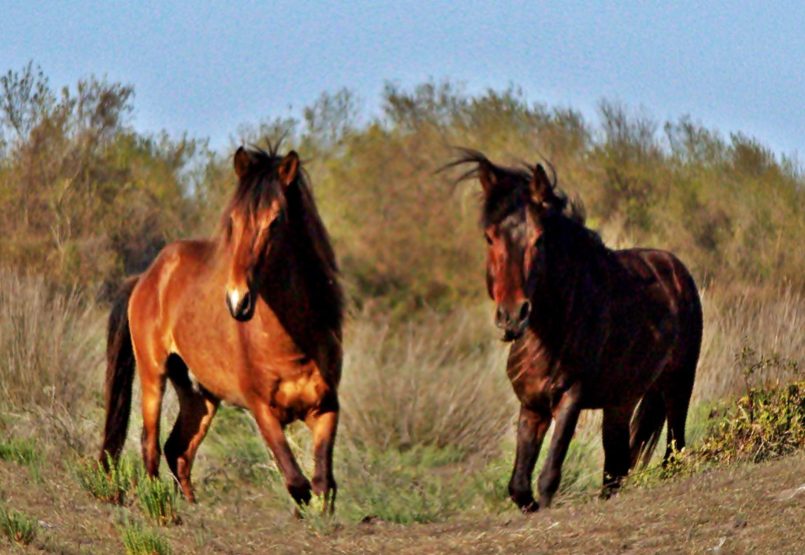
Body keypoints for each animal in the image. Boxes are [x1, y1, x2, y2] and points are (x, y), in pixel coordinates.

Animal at [98, 144, 342, 512]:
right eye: (234, 220)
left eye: (277, 220)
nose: (237, 301)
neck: (293, 345)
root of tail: (147, 276)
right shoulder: (262, 410)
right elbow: (295, 481)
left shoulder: (326, 408)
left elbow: (322, 484)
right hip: (153, 374)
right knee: (150, 444)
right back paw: (160, 507)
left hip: (201, 395)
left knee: (178, 449)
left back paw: (190, 504)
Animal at [452, 151, 704, 512]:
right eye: (489, 237)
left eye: (539, 238)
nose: (512, 317)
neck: (550, 331)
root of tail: (677, 269)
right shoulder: (532, 406)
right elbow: (518, 486)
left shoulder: (570, 397)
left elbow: (548, 477)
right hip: (621, 402)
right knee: (616, 466)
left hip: (678, 382)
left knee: (674, 447)